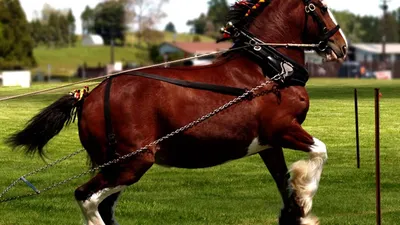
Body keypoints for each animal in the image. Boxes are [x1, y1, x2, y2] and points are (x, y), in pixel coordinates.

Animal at [7, 0, 348, 224]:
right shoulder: (283, 129)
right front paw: (306, 195)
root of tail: (91, 95)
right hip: (133, 161)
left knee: (102, 205)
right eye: (320, 7)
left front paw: (296, 209)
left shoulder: (268, 143)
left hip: (116, 164)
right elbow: (320, 152)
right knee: (86, 198)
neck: (268, 71)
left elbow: (283, 182)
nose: (341, 45)